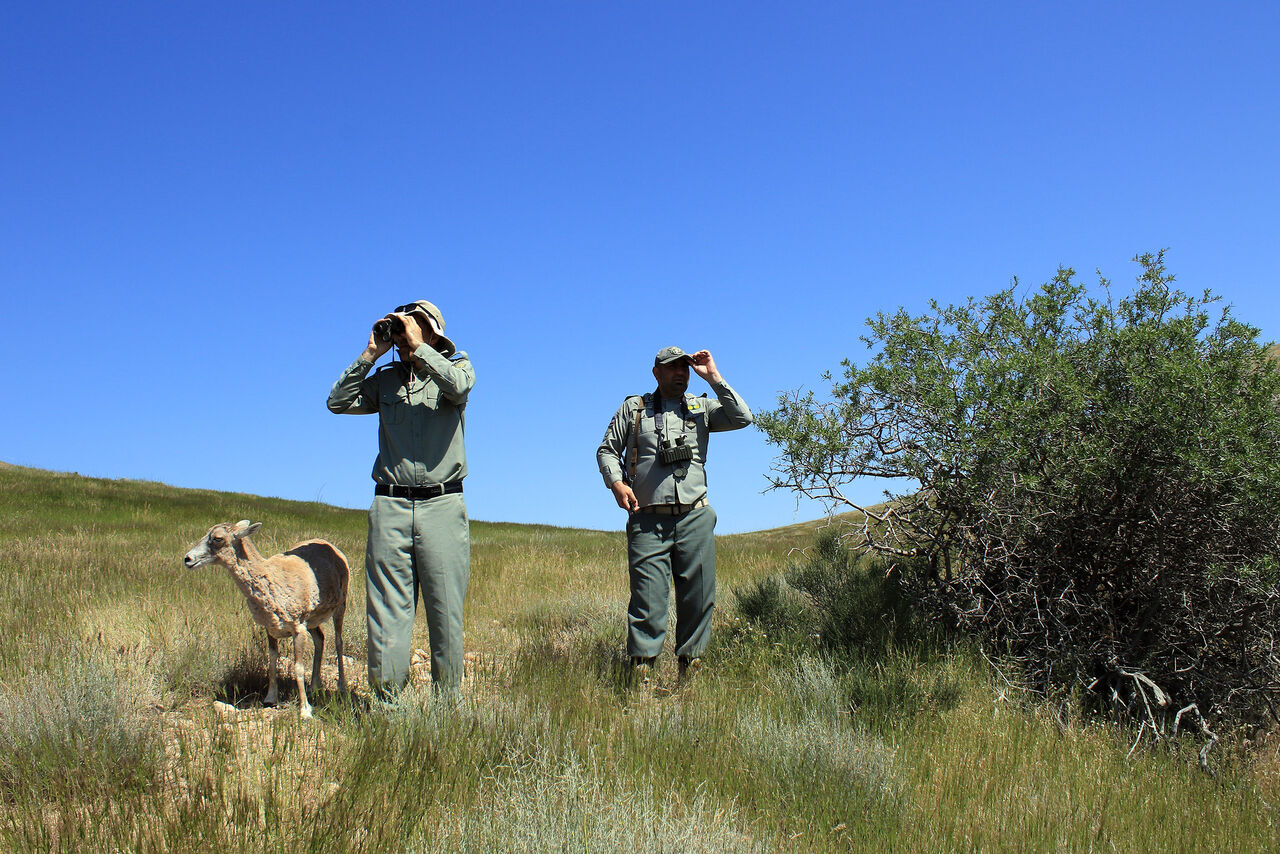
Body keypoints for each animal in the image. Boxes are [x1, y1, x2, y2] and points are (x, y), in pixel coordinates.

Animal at [183, 524, 348, 717]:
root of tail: (331, 547)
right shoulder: (271, 629)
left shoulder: (298, 628)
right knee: (320, 639)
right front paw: (270, 699)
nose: (188, 559)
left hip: (340, 607)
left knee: (338, 642)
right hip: (312, 620)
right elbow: (271, 662)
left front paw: (305, 711)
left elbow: (298, 667)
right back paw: (314, 686)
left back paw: (341, 687)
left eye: (217, 538)